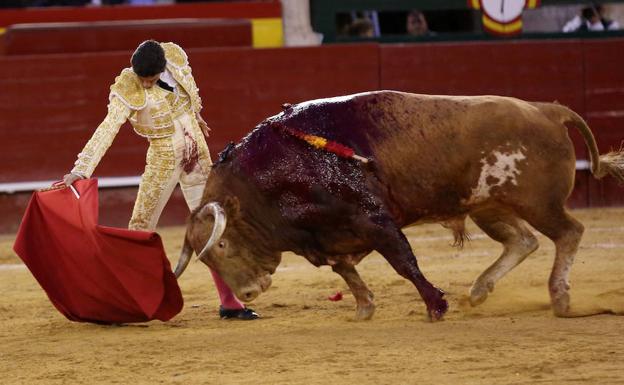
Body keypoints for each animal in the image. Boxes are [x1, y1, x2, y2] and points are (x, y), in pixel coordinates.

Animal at [172, 91, 624, 320]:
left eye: (223, 245)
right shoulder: (332, 234)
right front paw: (364, 308)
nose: (248, 293)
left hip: (537, 202)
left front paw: (436, 306)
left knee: (568, 232)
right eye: (207, 259)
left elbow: (404, 263)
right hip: (488, 205)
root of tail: (548, 110)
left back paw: (560, 298)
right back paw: (479, 291)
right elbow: (345, 270)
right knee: (522, 241)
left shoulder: (374, 220)